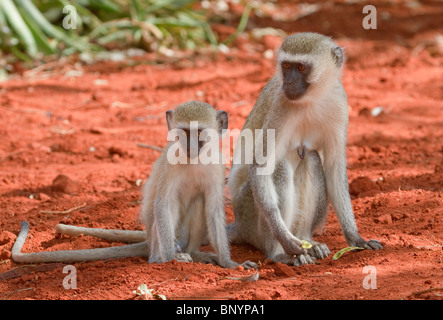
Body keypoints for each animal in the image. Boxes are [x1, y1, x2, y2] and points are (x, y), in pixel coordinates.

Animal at [12, 100, 256, 270]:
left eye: (199, 133)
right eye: (185, 132)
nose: (190, 147)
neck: (194, 160)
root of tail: (148, 241)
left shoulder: (217, 166)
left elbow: (213, 208)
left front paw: (229, 263)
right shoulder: (170, 164)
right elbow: (163, 204)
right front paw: (171, 260)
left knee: (200, 203)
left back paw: (196, 254)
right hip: (160, 238)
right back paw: (162, 258)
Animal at [227, 33, 384, 268]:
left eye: (301, 68)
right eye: (286, 66)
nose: (289, 82)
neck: (312, 98)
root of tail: (238, 224)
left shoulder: (339, 102)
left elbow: (334, 168)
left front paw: (356, 238)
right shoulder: (281, 106)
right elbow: (262, 166)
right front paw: (284, 239)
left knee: (311, 159)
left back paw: (308, 241)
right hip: (248, 214)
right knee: (280, 167)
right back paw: (279, 253)